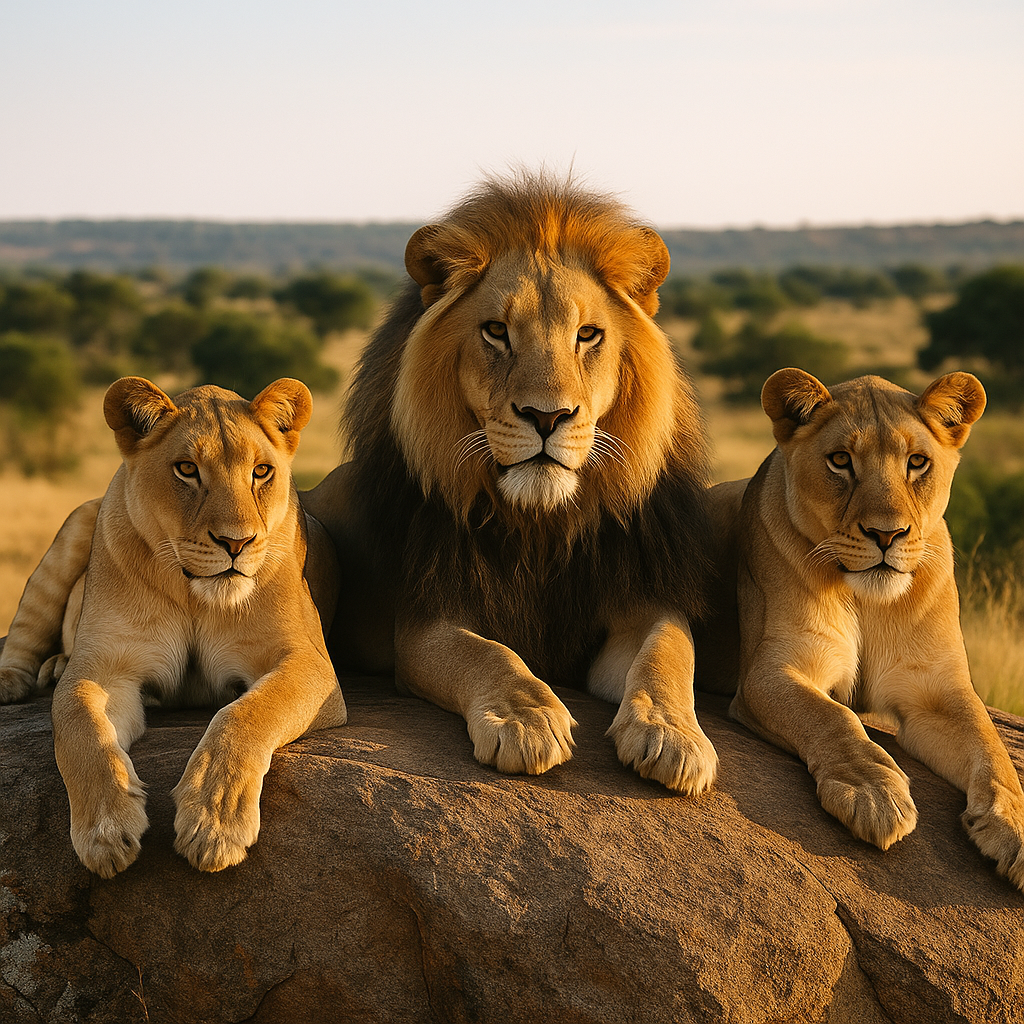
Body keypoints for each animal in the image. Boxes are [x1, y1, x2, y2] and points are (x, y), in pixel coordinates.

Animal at [0, 377, 347, 877]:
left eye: (262, 472)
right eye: (186, 469)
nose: (236, 543)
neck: (194, 595)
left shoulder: (310, 663)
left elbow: (245, 713)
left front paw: (214, 823)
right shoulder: (105, 667)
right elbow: (79, 726)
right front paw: (105, 831)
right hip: (75, 527)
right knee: (28, 622)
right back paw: (21, 677)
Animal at [302, 173, 718, 794]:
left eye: (588, 335)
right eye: (496, 332)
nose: (547, 417)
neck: (541, 523)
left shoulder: (642, 600)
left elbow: (667, 652)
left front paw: (673, 735)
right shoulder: (427, 619)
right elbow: (489, 656)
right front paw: (526, 720)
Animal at [717, 367, 1024, 890]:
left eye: (917, 463)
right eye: (841, 461)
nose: (887, 534)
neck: (868, 601)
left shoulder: (939, 691)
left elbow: (993, 747)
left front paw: (1015, 825)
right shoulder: (769, 671)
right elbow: (831, 716)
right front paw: (874, 793)